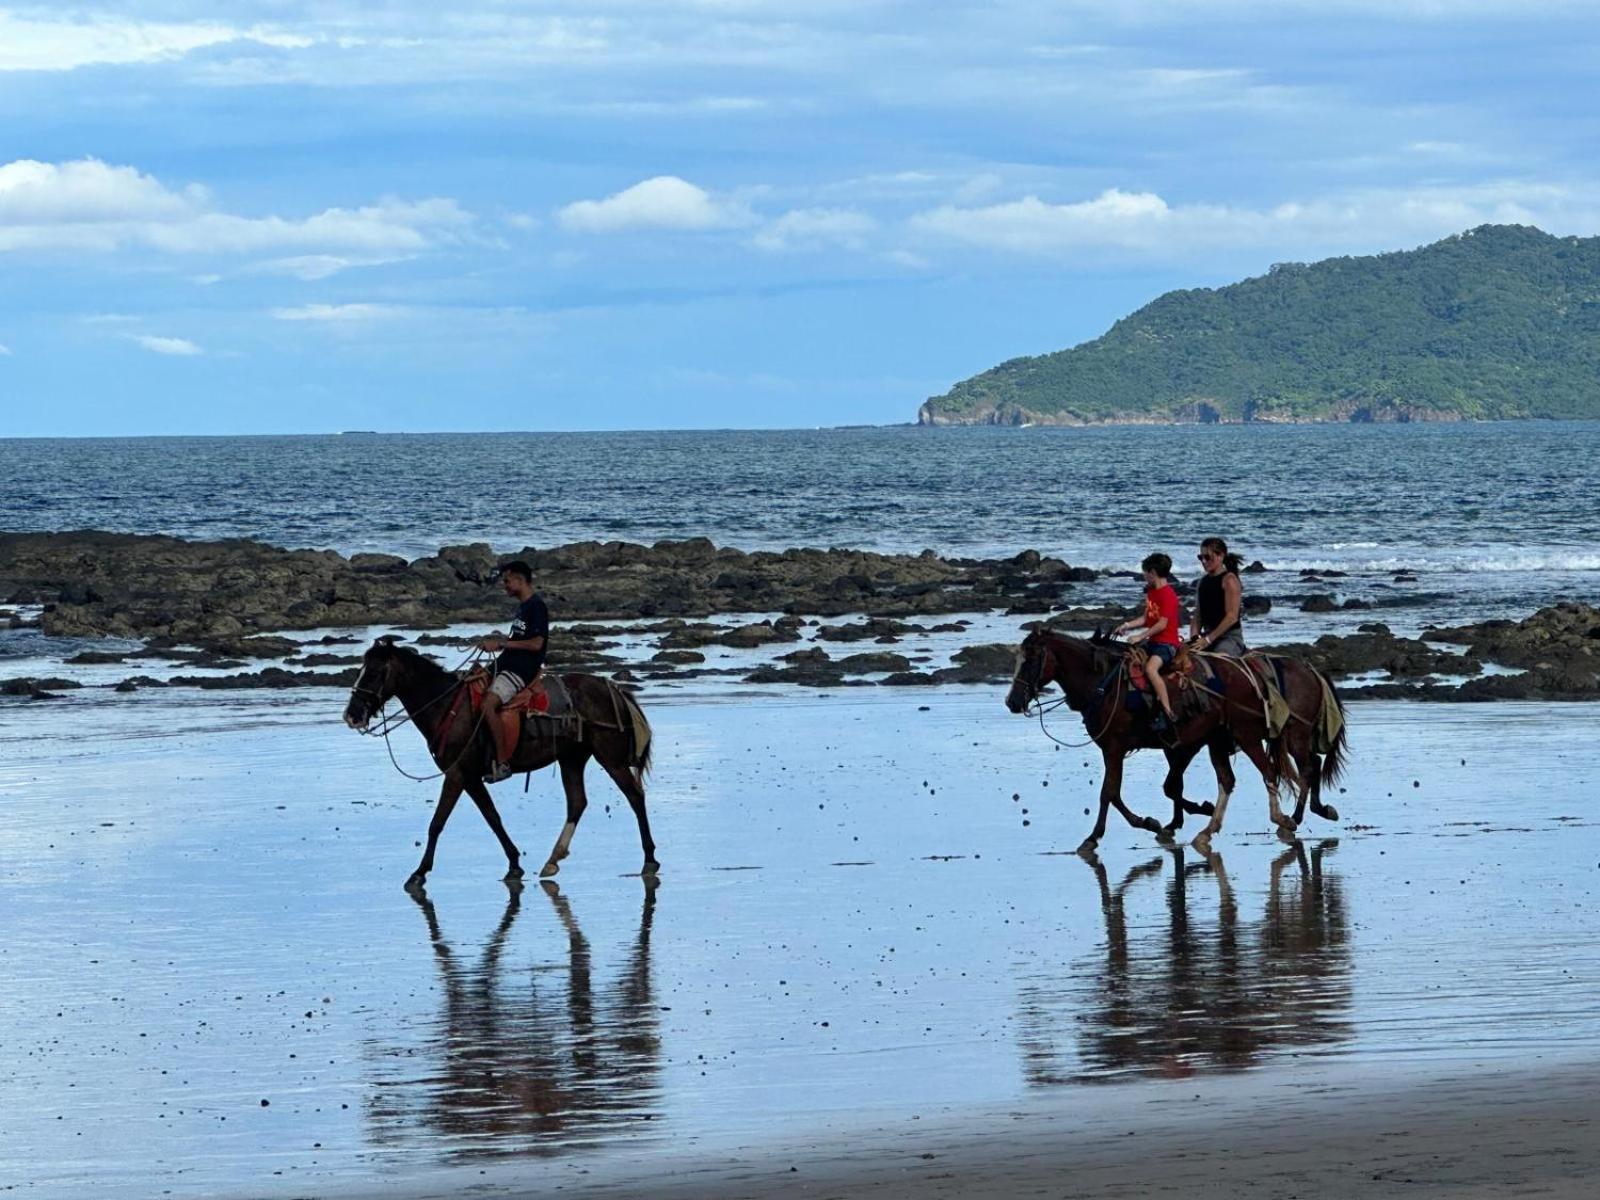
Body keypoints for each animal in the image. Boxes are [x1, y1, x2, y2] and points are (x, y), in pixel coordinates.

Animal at [342, 640, 656, 896]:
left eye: (373, 673)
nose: (352, 715)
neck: (447, 706)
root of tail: (614, 690)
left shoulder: (456, 775)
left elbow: (437, 823)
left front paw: (419, 873)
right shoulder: (470, 778)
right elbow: (492, 818)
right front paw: (514, 863)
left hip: (610, 757)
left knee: (635, 796)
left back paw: (649, 860)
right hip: (572, 758)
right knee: (577, 802)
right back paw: (552, 860)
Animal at [1011, 630, 1299, 857]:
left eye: (1030, 661)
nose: (1011, 702)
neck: (1103, 684)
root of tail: (1248, 675)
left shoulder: (1117, 748)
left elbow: (1109, 792)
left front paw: (1095, 837)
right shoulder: (1121, 749)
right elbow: (1122, 793)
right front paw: (1155, 822)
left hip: (1245, 733)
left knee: (1268, 771)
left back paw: (1282, 820)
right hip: (1217, 739)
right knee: (1227, 780)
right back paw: (1208, 830)